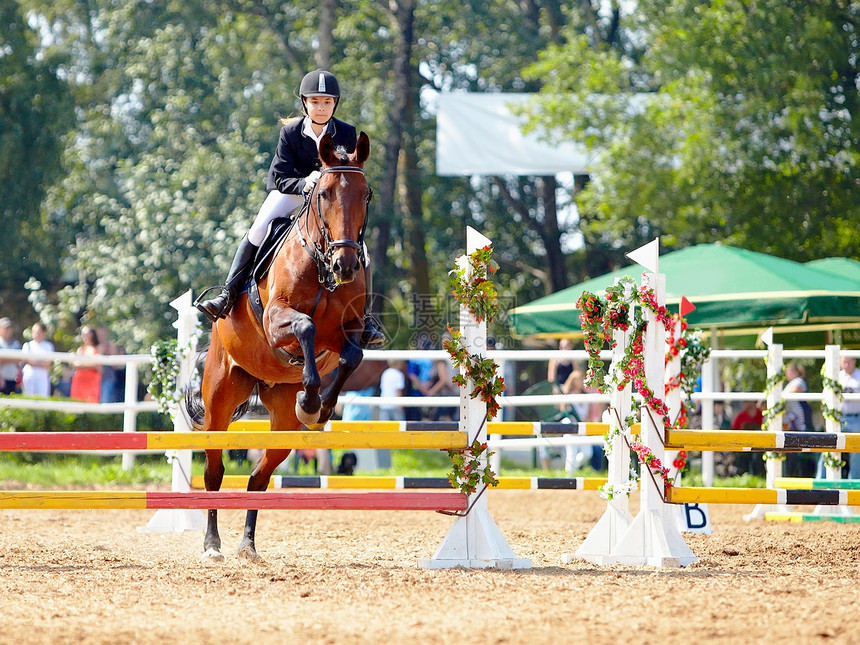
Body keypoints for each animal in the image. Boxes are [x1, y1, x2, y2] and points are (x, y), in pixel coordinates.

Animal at [185, 131, 372, 560]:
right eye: (323, 193)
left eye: (366, 194)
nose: (346, 265)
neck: (321, 265)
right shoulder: (275, 321)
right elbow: (304, 326)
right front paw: (313, 400)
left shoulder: (350, 329)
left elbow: (353, 354)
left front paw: (319, 408)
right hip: (220, 397)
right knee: (214, 471)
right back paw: (212, 545)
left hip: (281, 419)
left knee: (259, 476)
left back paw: (248, 546)